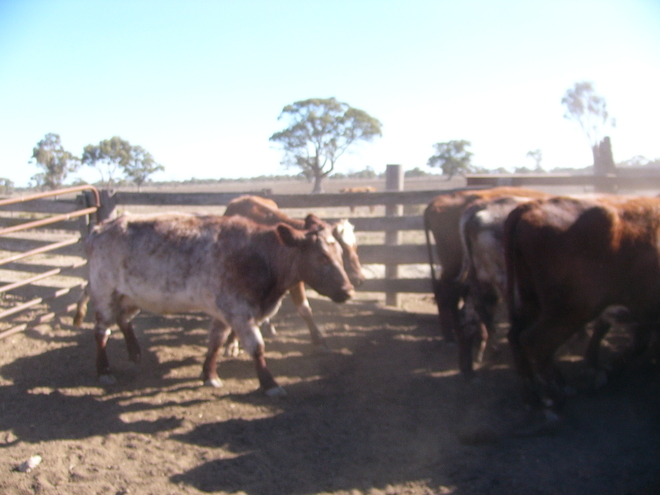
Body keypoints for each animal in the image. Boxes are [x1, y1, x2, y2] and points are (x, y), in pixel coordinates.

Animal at [77, 212, 354, 397]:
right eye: (322, 257)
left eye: (339, 254)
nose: (348, 291)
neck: (260, 255)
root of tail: (100, 228)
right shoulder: (239, 313)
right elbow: (257, 348)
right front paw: (270, 384)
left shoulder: (223, 313)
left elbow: (216, 342)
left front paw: (209, 375)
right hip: (104, 292)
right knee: (101, 331)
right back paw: (104, 370)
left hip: (132, 296)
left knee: (124, 320)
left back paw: (135, 353)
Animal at [223, 195, 364, 352]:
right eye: (343, 249)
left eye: (353, 247)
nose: (359, 279)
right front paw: (232, 342)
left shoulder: (295, 279)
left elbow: (305, 309)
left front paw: (319, 340)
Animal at [504, 195, 660, 415]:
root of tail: (531, 206)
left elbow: (638, 342)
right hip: (572, 311)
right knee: (536, 342)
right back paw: (553, 399)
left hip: (532, 301)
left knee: (516, 337)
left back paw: (533, 399)